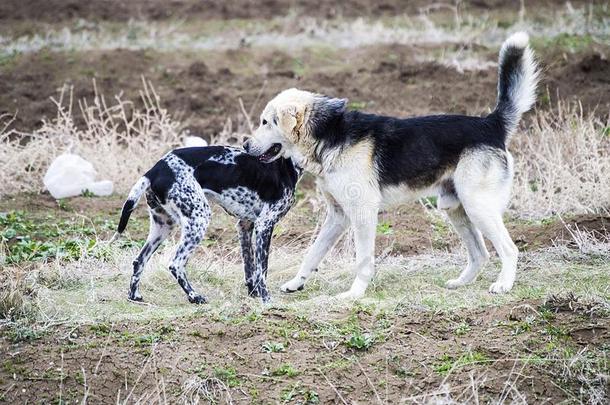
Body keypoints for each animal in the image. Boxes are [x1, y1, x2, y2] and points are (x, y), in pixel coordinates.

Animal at [242, 32, 536, 300]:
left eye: (266, 122)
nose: (244, 145)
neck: (329, 135)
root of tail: (490, 124)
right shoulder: (337, 216)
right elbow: (313, 253)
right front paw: (296, 283)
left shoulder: (362, 214)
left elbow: (362, 261)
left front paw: (355, 293)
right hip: (455, 207)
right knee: (480, 253)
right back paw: (461, 282)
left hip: (478, 206)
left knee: (509, 249)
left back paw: (504, 285)